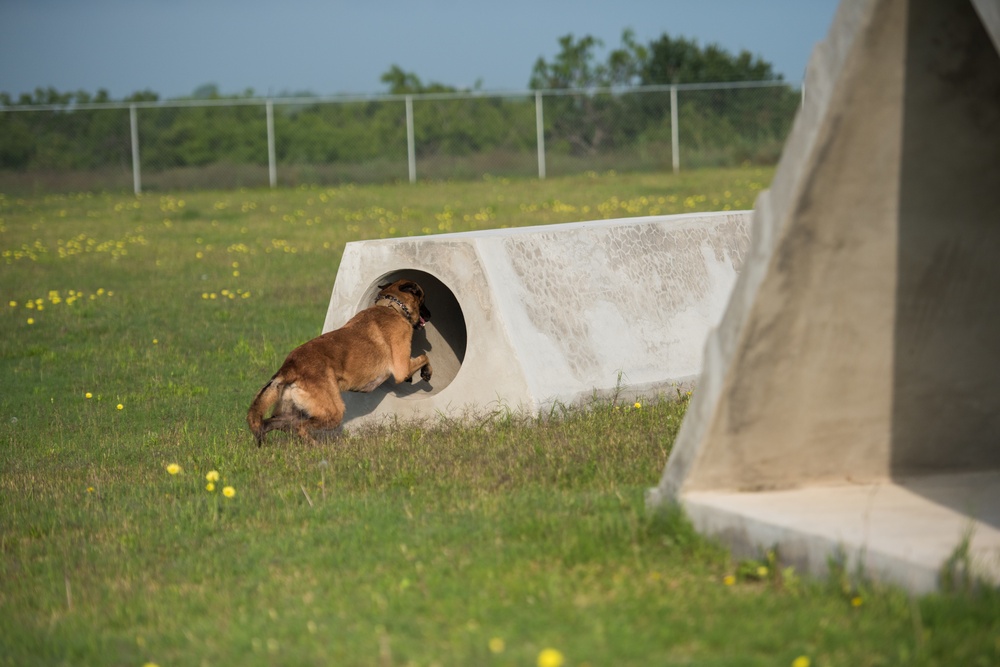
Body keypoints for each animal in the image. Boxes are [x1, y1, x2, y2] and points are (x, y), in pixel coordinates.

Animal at [248, 280, 432, 446]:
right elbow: (424, 357)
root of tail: (290, 367)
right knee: (301, 427)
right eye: (423, 300)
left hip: (294, 412)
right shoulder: (401, 368)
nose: (430, 316)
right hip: (333, 411)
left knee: (270, 424)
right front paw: (426, 372)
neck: (392, 307)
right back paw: (317, 447)